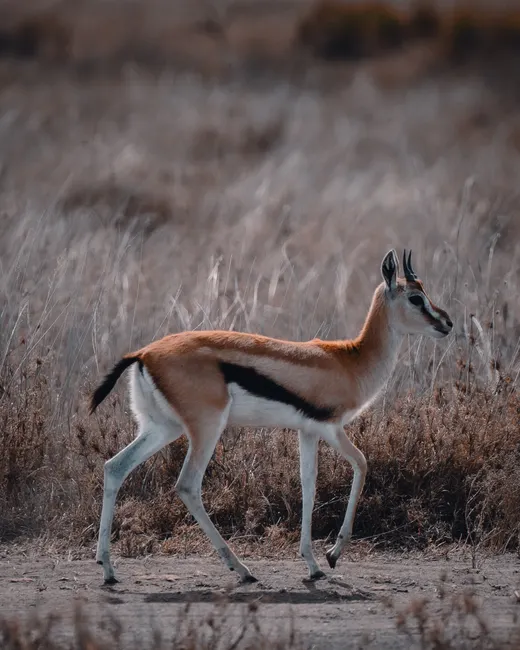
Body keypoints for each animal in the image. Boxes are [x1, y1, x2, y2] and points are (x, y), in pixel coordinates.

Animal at [90, 249, 453, 584]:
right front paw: (333, 555)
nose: (447, 323)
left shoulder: (307, 431)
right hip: (206, 429)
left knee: (115, 467)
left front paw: (313, 564)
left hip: (162, 428)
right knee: (187, 485)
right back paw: (241, 569)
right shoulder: (330, 428)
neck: (350, 361)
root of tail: (143, 354)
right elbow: (362, 464)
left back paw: (107, 568)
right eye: (416, 298)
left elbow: (309, 483)